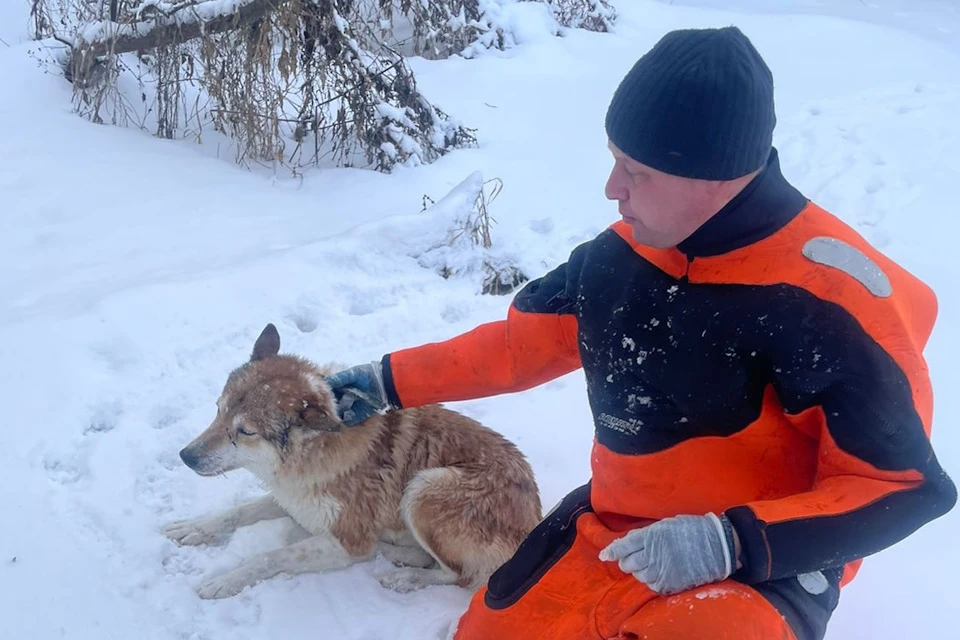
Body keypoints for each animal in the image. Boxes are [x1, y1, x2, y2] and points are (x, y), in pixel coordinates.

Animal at [161, 324, 544, 600]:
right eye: (219, 410)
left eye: (245, 432)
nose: (185, 456)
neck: (309, 456)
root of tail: (533, 524)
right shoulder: (292, 500)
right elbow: (238, 512)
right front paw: (195, 528)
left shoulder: (348, 541)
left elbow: (272, 556)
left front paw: (226, 580)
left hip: (425, 487)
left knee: (461, 575)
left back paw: (405, 575)